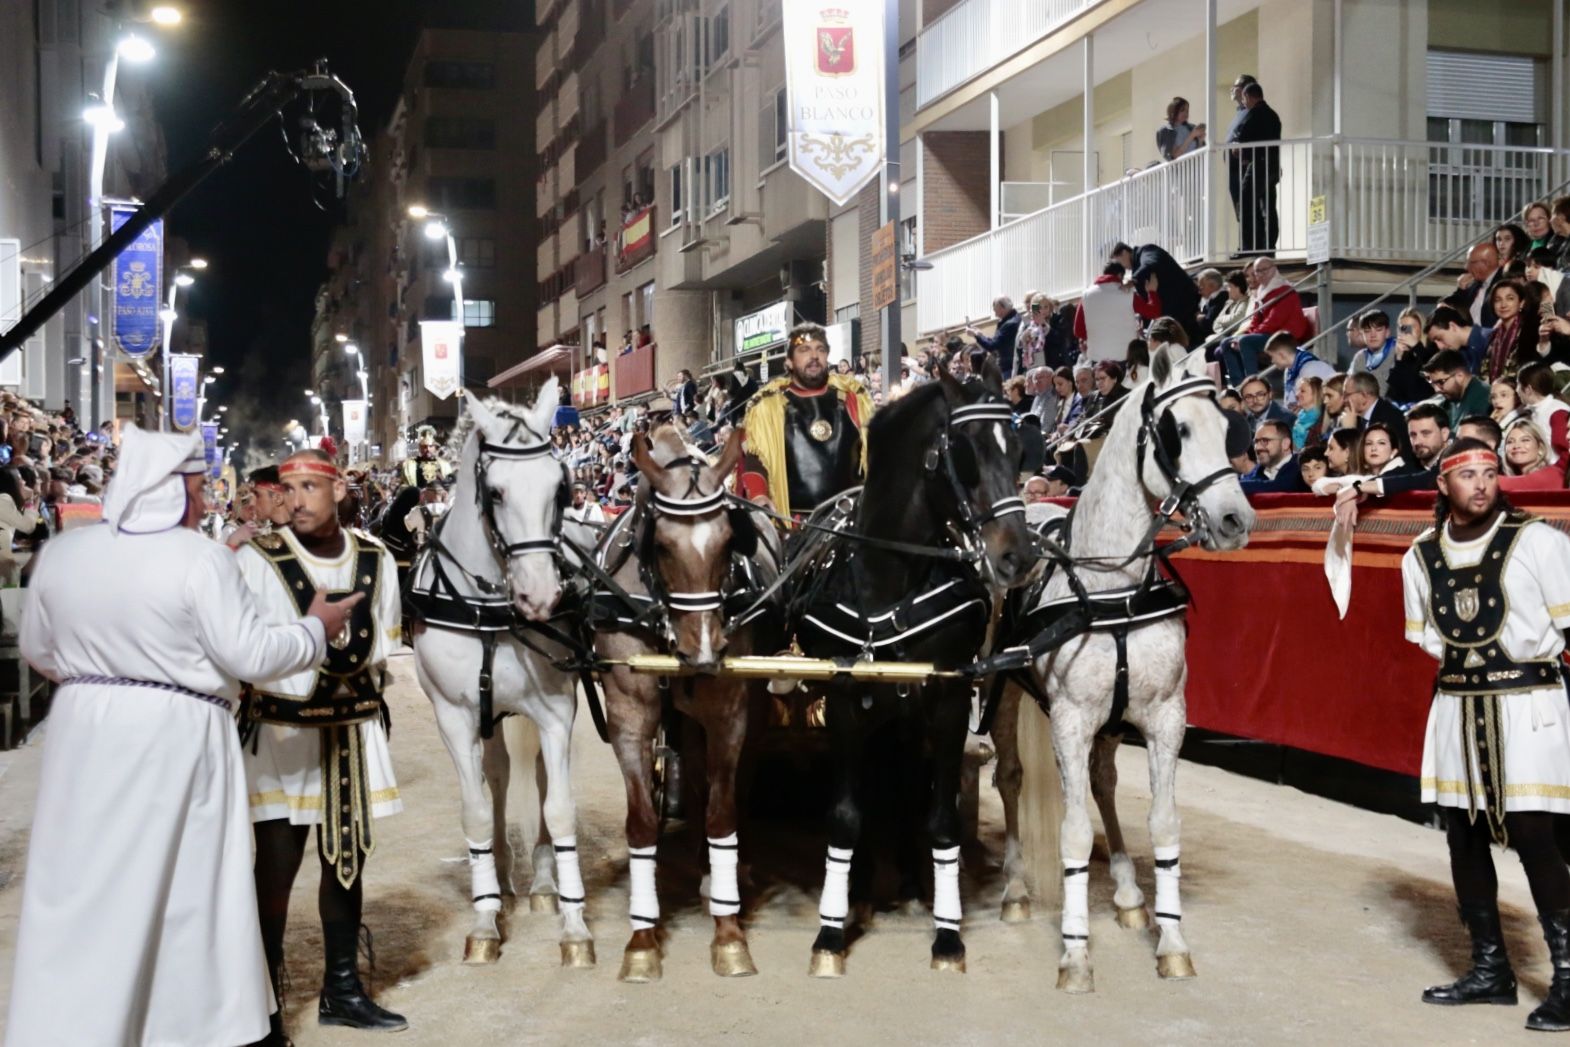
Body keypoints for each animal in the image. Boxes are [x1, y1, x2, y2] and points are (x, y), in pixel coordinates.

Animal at [411, 387, 593, 973]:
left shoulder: (555, 711)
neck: (489, 609)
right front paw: (485, 917)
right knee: (496, 778)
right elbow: (474, 812)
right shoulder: (455, 718)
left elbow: (559, 808)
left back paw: (541, 882)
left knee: (535, 778)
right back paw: (503, 882)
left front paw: (574, 925)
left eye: (560, 486)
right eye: (495, 491)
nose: (541, 596)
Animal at [590, 426, 778, 985]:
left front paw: (729, 933)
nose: (705, 652)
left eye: (728, 542)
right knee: (693, 775)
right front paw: (642, 940)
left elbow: (723, 813)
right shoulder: (630, 711)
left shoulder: (728, 712)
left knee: (734, 780)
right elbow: (642, 821)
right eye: (663, 546)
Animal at [1011, 348, 1256, 998]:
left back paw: (1125, 892)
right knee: (1010, 777)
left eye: (1230, 429)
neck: (1112, 590)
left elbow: (1164, 824)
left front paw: (1172, 941)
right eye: (1178, 432)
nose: (1235, 520)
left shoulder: (1165, 716)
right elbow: (1073, 832)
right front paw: (1075, 954)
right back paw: (1015, 886)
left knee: (1101, 783)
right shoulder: (1070, 721)